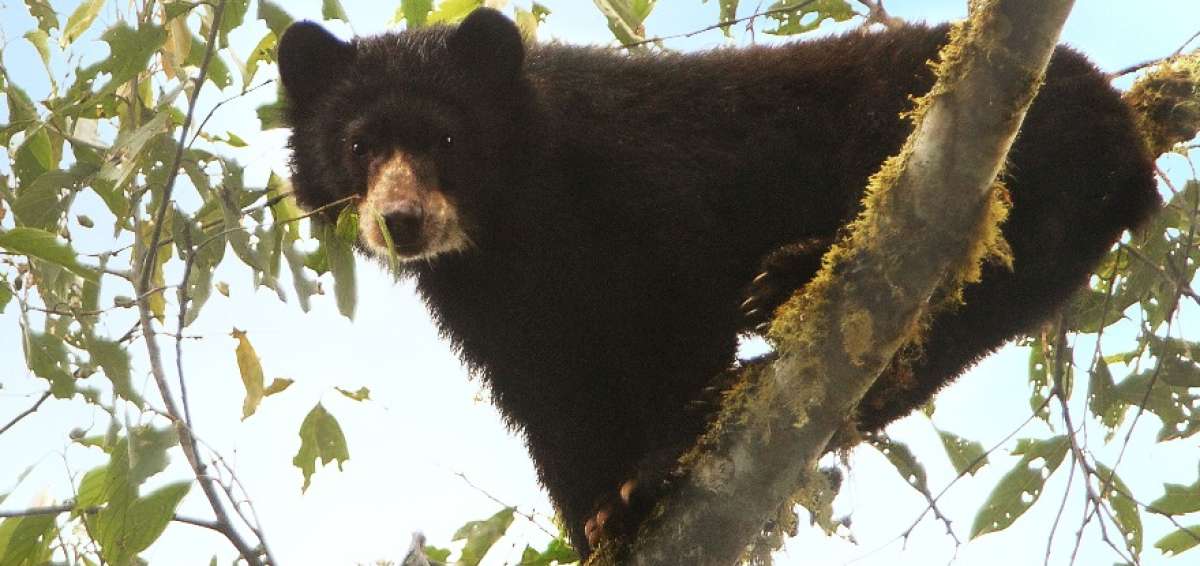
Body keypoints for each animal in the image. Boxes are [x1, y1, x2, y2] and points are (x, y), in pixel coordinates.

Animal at [276, 8, 1159, 557]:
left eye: (449, 139)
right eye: (358, 146)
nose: (402, 221)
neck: (518, 214)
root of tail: (1126, 137)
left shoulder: (646, 186)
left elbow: (680, 304)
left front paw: (649, 474)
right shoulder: (488, 295)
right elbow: (544, 389)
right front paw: (594, 516)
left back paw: (786, 283)